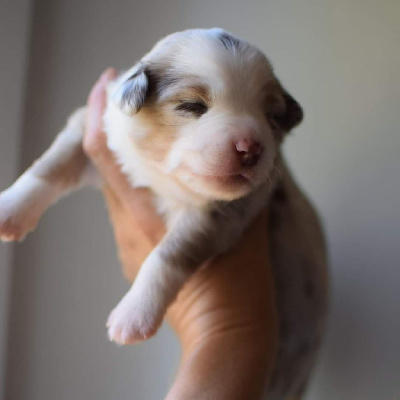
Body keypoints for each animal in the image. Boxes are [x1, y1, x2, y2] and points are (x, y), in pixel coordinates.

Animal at [0, 28, 328, 398]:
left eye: (271, 117)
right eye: (192, 106)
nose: (252, 148)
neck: (162, 177)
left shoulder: (225, 212)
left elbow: (168, 253)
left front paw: (134, 313)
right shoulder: (95, 128)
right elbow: (50, 165)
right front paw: (10, 208)